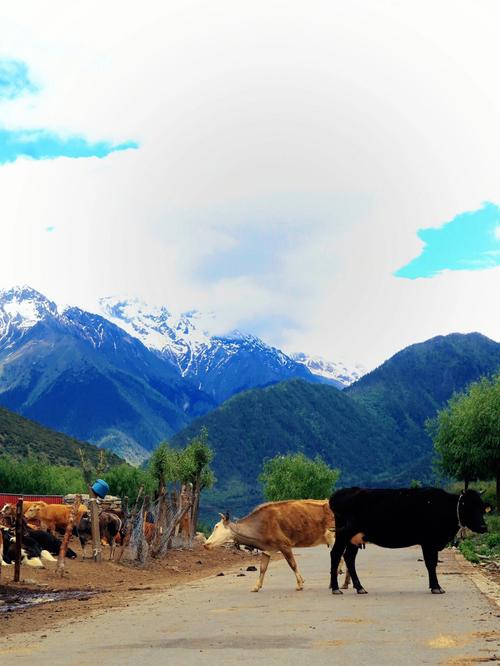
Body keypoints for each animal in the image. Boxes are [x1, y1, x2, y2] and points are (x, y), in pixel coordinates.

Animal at [203, 498, 352, 592]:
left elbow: (293, 564)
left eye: (216, 526)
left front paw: (300, 584)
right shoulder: (267, 549)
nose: (205, 544)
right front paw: (256, 586)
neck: (260, 527)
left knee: (341, 558)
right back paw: (345, 584)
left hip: (333, 537)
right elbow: (262, 568)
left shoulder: (284, 545)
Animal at [330, 486, 490, 592]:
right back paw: (336, 588)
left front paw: (434, 586)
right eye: (468, 507)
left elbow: (432, 563)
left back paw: (359, 587)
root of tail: (343, 492)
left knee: (349, 557)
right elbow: (430, 563)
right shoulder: (429, 542)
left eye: (482, 507)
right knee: (336, 554)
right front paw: (436, 587)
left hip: (355, 538)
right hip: (344, 534)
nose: (483, 527)